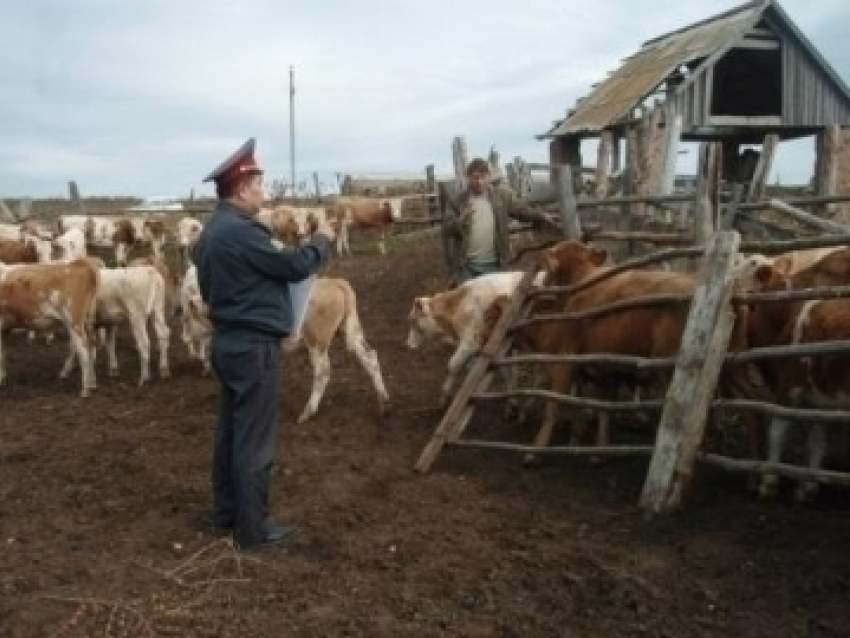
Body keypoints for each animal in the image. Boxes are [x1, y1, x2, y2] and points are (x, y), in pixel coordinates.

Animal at [0, 260, 99, 396]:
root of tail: (78, 264)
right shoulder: (4, 328)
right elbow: (3, 353)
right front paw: (2, 378)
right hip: (88, 320)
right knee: (91, 347)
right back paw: (93, 384)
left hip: (74, 322)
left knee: (83, 351)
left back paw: (85, 390)